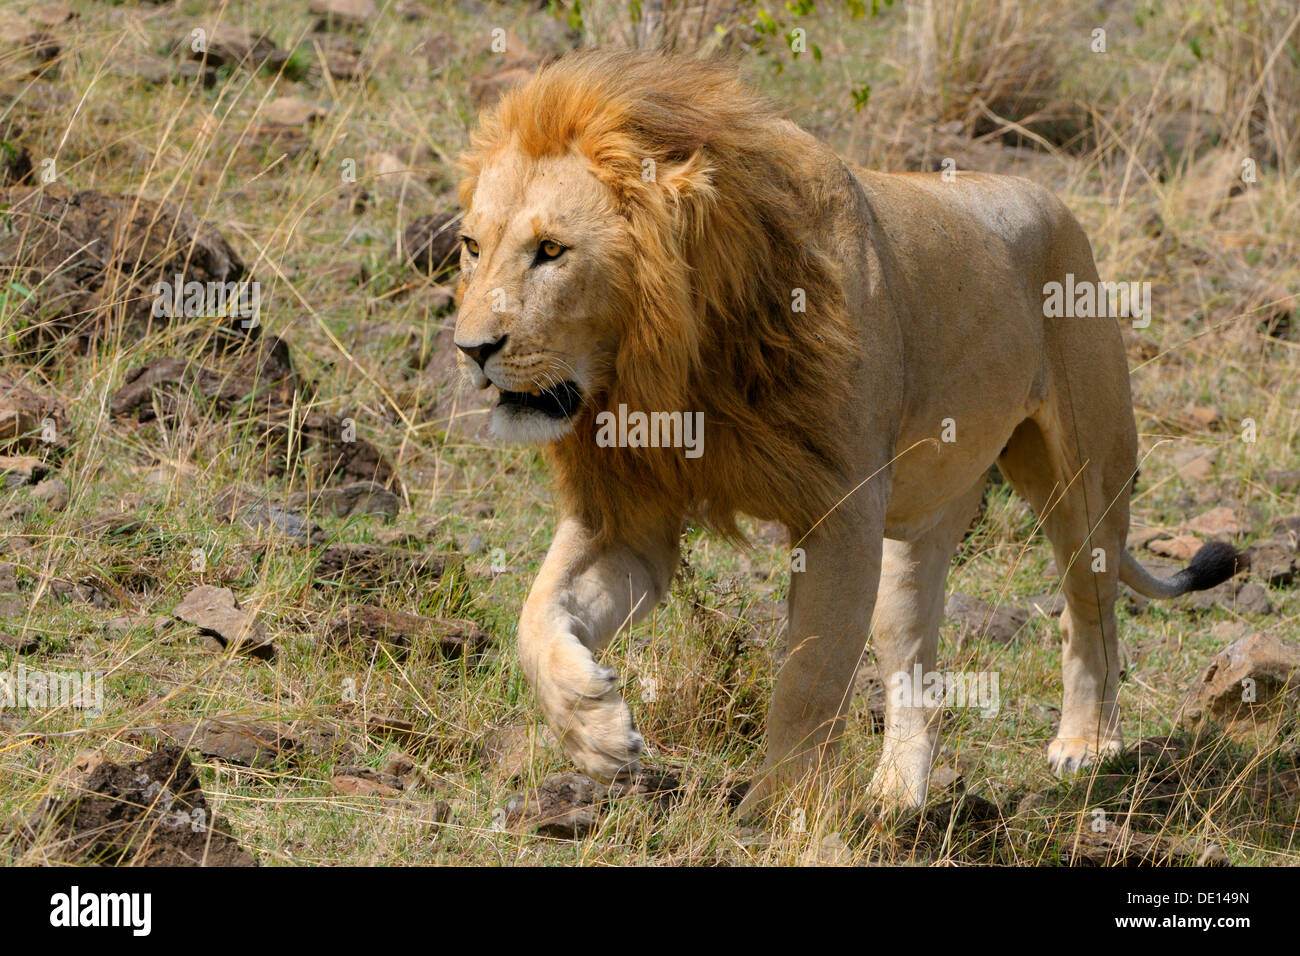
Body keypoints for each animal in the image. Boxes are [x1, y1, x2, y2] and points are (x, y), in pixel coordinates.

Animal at [452, 50, 1243, 814]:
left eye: (552, 251)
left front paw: (773, 811)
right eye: (470, 246)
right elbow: (536, 616)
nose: (471, 349)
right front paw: (595, 728)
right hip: (920, 529)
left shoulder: (840, 512)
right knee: (915, 659)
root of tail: (1052, 203)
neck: (676, 361)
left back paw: (1087, 743)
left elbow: (808, 676)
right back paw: (898, 792)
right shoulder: (629, 516)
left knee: (1091, 612)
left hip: (1084, 477)